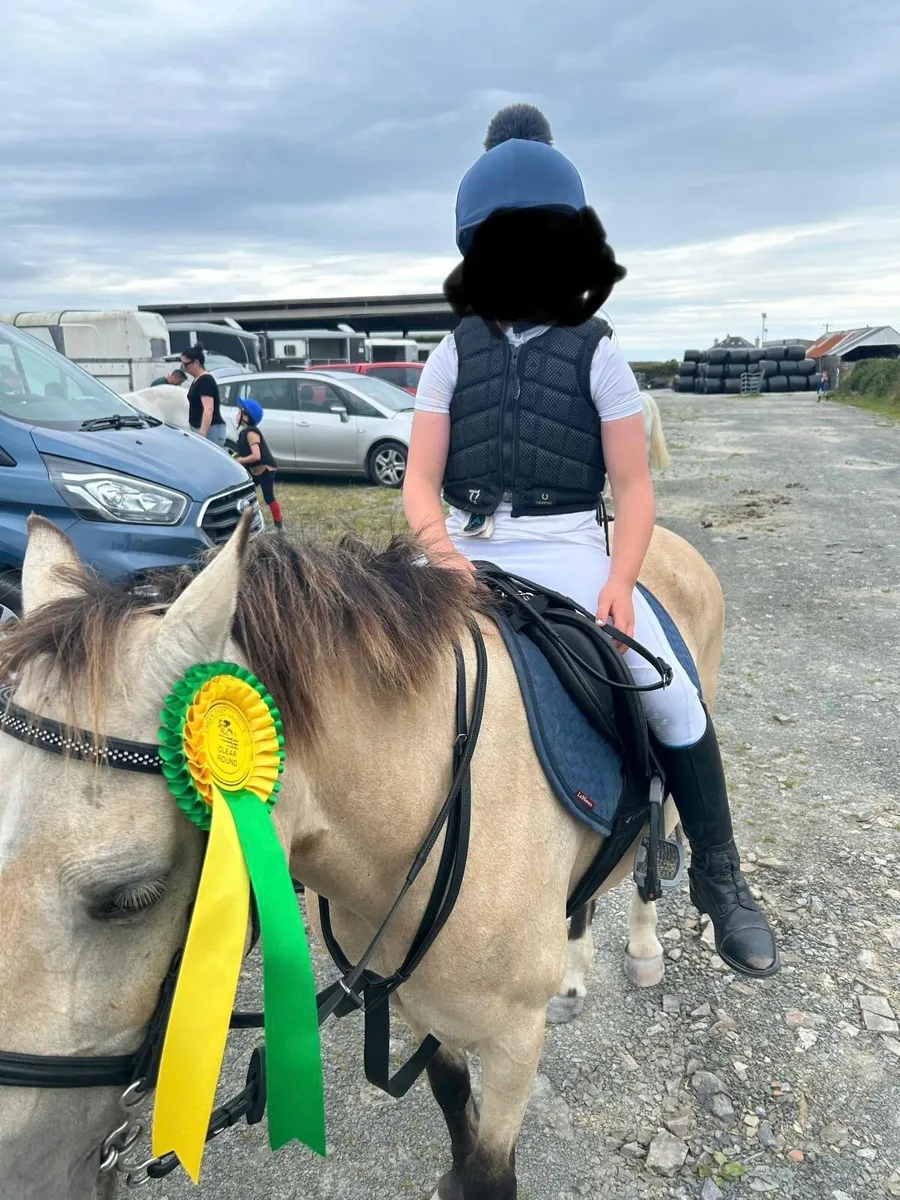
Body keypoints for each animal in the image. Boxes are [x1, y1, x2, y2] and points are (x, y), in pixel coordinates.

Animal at [0, 512, 724, 1200]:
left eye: (133, 896)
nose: (27, 1178)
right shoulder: (408, 998)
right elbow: (451, 1095)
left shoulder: (515, 1042)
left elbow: (494, 1174)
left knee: (659, 855)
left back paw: (657, 944)